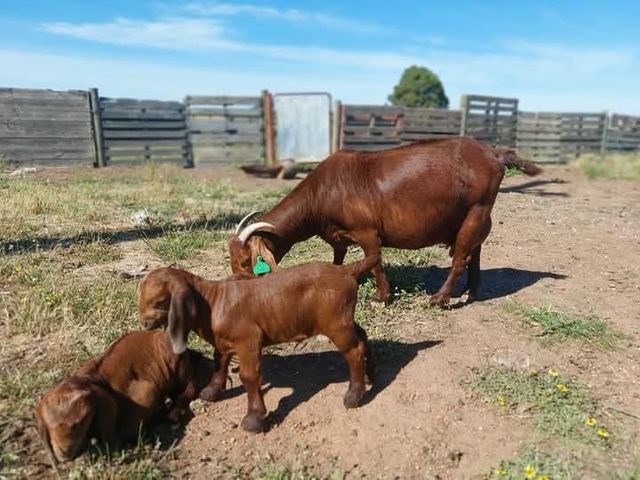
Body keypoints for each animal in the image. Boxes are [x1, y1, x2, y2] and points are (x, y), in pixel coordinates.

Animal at [35, 330, 199, 463]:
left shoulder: (145, 393)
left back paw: (174, 412)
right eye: (49, 426)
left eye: (82, 420)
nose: (65, 452)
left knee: (190, 385)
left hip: (177, 365)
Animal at [137, 256, 377, 433]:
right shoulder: (224, 342)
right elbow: (219, 362)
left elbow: (249, 376)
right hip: (344, 320)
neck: (213, 302)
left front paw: (254, 418)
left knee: (353, 351)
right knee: (362, 336)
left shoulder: (249, 340)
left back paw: (354, 395)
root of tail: (346, 271)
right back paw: (369, 376)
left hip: (335, 323)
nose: (145, 324)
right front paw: (211, 391)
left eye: (159, 301)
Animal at [228, 137, 541, 306]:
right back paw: (471, 292)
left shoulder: (367, 232)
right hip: (472, 217)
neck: (324, 191)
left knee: (461, 257)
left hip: (476, 211)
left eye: (246, 261)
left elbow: (376, 261)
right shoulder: (339, 237)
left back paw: (440, 298)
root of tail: (493, 153)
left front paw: (382, 296)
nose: (241, 288)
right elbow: (338, 260)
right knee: (475, 253)